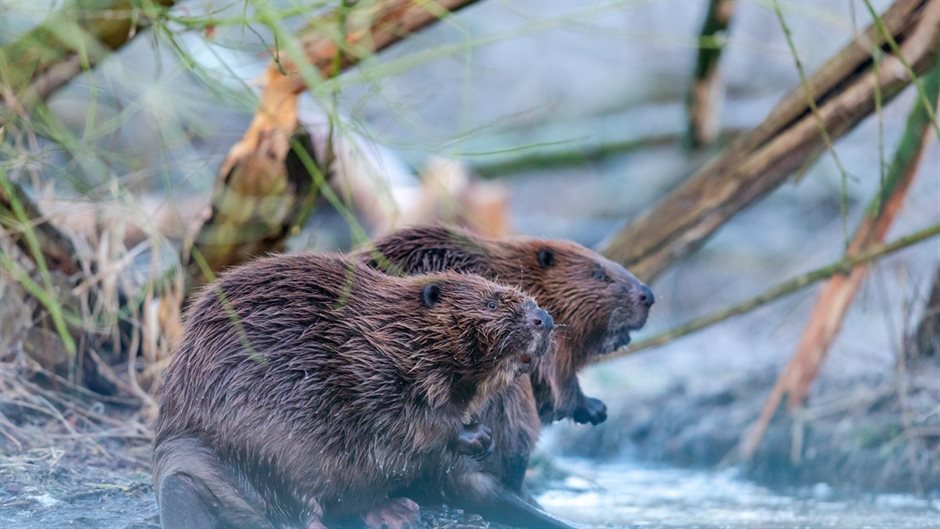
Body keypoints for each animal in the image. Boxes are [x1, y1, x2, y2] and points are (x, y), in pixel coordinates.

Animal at [151, 252, 556, 528]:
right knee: (296, 508)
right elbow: (407, 421)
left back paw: (397, 511)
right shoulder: (369, 370)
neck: (394, 332)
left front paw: (481, 436)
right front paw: (475, 435)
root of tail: (176, 463)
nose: (544, 318)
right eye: (491, 302)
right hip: (269, 445)